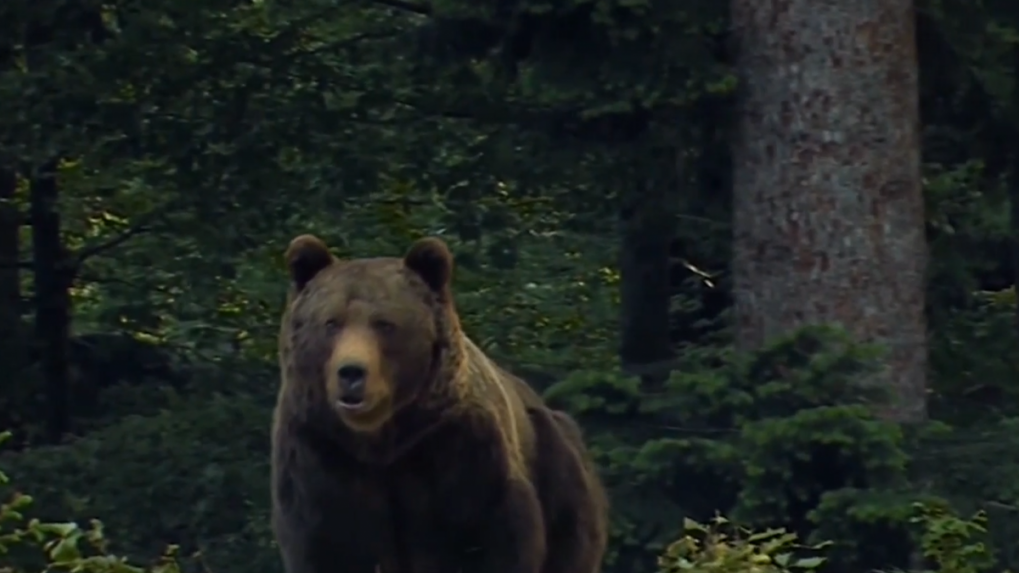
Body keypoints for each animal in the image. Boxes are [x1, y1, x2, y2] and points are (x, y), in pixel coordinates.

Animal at [271, 233, 607, 573]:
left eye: (384, 324)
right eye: (331, 323)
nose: (351, 372)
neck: (382, 441)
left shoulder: (457, 448)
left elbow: (491, 535)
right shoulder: (322, 451)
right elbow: (329, 543)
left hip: (557, 463)